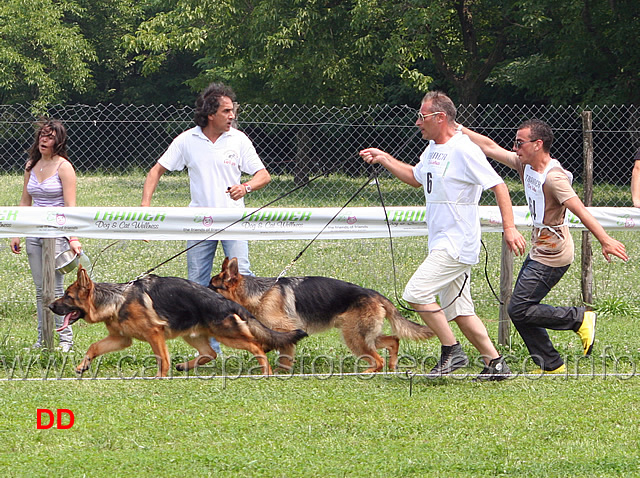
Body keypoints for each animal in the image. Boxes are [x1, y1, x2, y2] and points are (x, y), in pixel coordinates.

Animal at [49, 268, 308, 376]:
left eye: (68, 297)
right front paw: (82, 366)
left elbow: (162, 358)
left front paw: (160, 379)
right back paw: (186, 366)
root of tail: (228, 302)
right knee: (210, 353)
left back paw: (267, 371)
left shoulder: (154, 334)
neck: (117, 299)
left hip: (227, 335)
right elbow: (94, 347)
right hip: (192, 335)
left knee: (257, 347)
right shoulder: (120, 339)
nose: (50, 306)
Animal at [210, 256, 436, 372]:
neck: (260, 293)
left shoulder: (286, 329)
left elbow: (282, 352)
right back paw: (392, 365)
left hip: (354, 337)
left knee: (377, 360)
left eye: (211, 287)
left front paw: (281, 372)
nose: (202, 293)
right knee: (393, 340)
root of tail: (375, 294)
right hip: (363, 334)